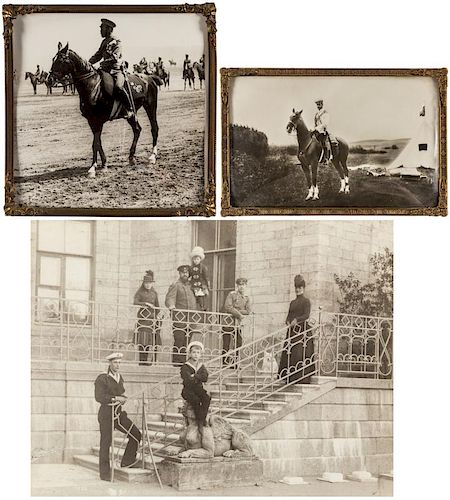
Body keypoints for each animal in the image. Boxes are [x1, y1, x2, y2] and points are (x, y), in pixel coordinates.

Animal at [50, 42, 160, 178]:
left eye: (60, 60)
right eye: (53, 59)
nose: (49, 79)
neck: (93, 86)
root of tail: (150, 78)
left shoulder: (98, 121)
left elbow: (95, 144)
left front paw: (93, 168)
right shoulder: (92, 121)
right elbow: (98, 143)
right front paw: (103, 164)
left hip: (150, 106)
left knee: (154, 128)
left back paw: (152, 156)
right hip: (132, 115)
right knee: (137, 130)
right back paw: (131, 157)